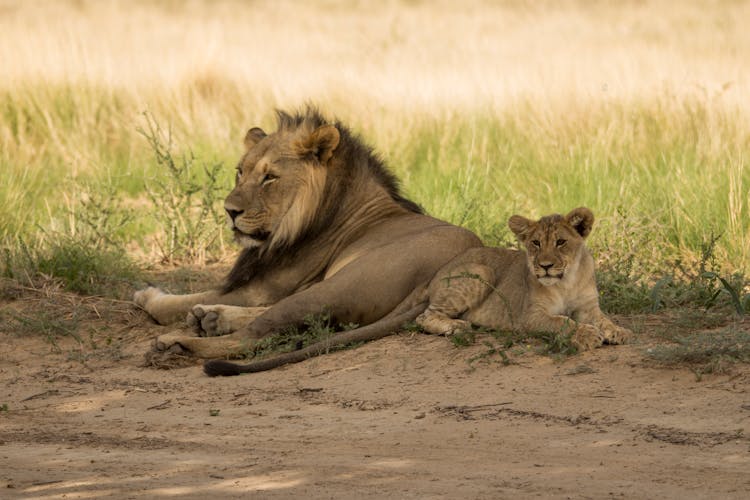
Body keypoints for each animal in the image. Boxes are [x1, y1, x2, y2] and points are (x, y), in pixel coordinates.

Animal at [135, 108, 482, 360]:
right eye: (240, 172)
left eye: (270, 177)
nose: (229, 211)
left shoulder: (259, 289)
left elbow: (172, 304)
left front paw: (148, 295)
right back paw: (211, 319)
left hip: (338, 285)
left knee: (253, 337)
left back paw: (177, 344)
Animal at [204, 206, 628, 376]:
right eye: (535, 244)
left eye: (561, 242)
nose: (544, 266)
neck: (567, 279)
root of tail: (435, 276)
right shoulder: (529, 316)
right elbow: (562, 324)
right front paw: (586, 336)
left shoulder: (588, 304)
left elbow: (601, 318)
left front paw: (617, 332)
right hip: (476, 274)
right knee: (427, 317)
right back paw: (458, 328)